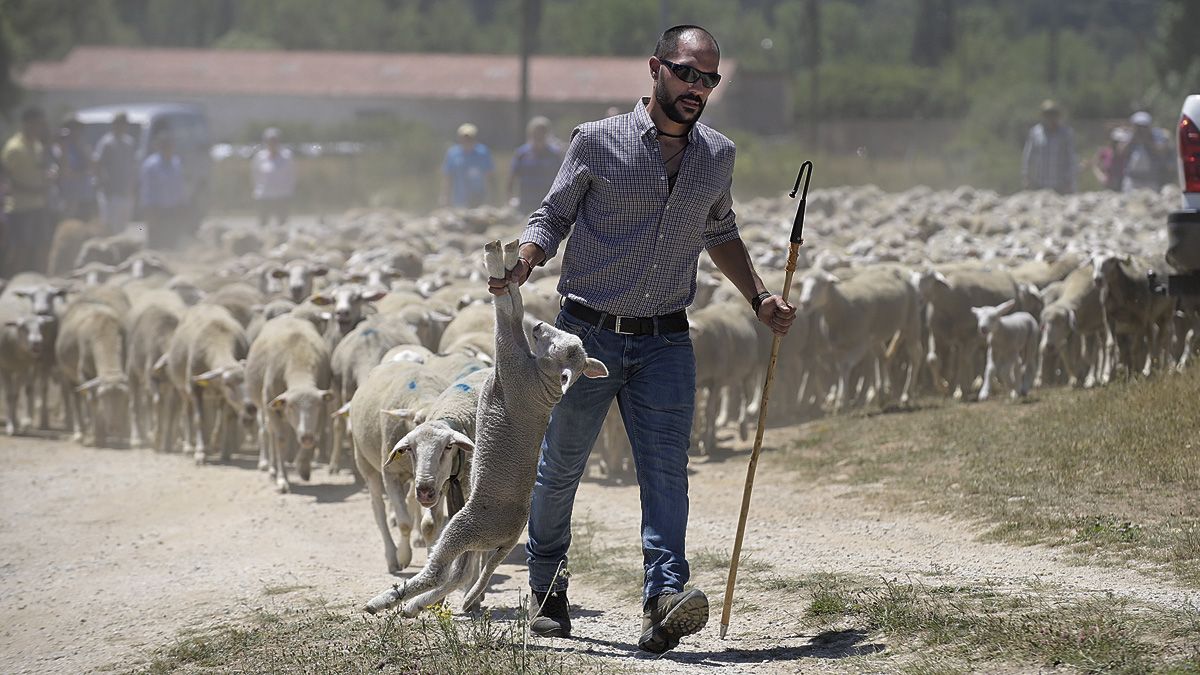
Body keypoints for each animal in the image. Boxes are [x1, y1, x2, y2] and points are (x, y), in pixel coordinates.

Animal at [362, 239, 609, 619]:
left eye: (559, 345)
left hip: (461, 529)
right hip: (477, 541)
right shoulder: (514, 358)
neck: (542, 381)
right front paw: (511, 261)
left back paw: (385, 602)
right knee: (464, 573)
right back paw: (421, 605)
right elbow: (514, 305)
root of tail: (507, 538)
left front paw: (496, 258)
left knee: (438, 572)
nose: (540, 326)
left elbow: (506, 314)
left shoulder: (509, 360)